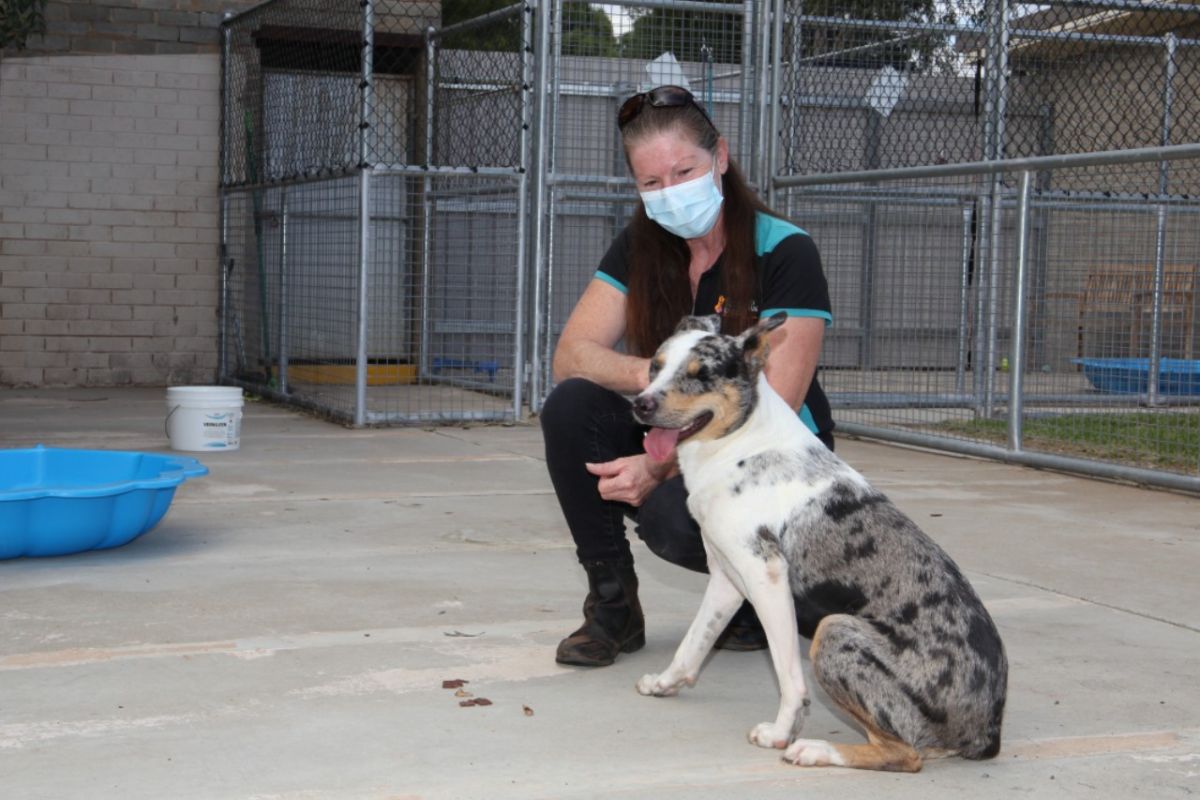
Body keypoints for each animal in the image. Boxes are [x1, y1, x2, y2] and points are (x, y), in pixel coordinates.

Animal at [633, 311, 1008, 767]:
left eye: (700, 374)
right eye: (654, 366)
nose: (641, 404)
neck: (742, 443)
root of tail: (987, 730)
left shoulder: (766, 578)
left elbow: (788, 675)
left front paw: (780, 733)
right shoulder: (726, 576)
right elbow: (695, 640)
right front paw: (666, 682)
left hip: (833, 631)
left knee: (904, 754)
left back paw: (814, 749)